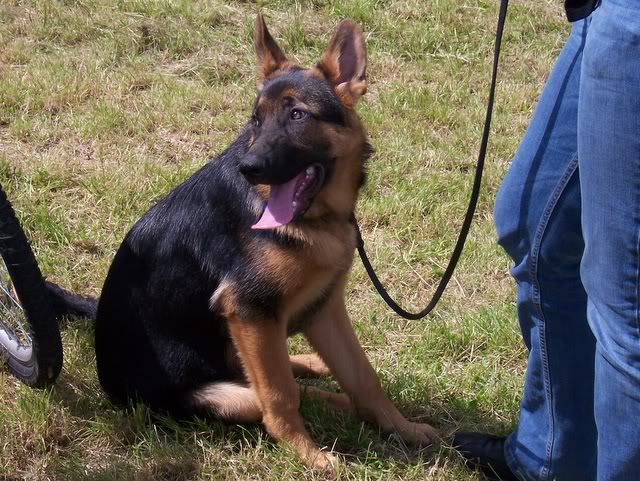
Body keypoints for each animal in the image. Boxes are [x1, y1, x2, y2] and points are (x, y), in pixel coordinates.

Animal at [50, 15, 437, 474]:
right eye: (256, 121)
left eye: (297, 114)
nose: (249, 169)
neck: (314, 218)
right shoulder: (250, 309)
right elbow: (279, 395)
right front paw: (307, 455)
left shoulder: (324, 308)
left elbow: (363, 377)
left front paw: (402, 427)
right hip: (218, 388)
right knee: (265, 393)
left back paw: (317, 374)